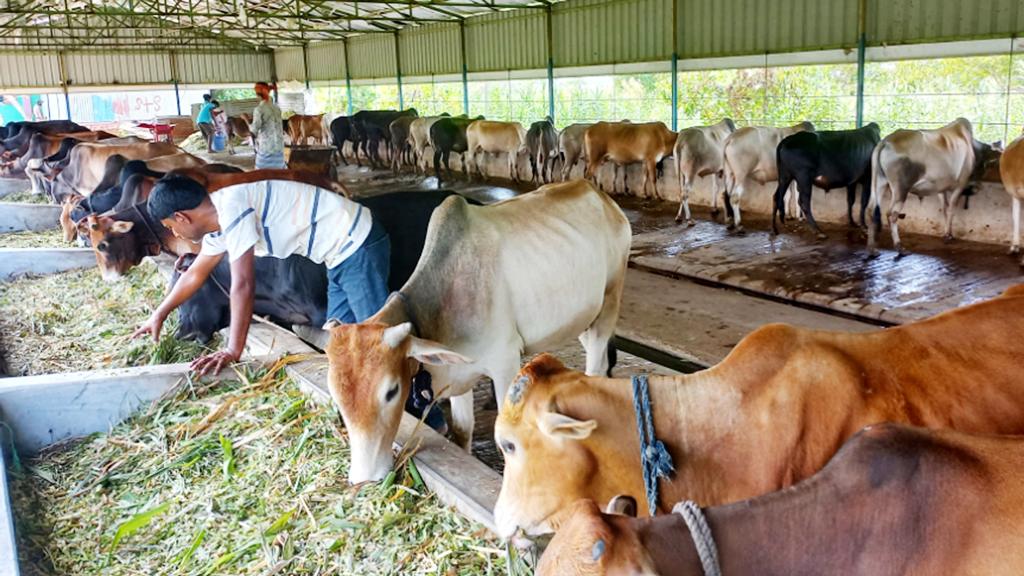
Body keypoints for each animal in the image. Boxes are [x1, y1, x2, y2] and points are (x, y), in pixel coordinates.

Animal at [868, 117, 1003, 254]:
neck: (973, 148)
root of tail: (885, 141)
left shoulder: (941, 188)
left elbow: (944, 208)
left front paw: (946, 233)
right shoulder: (960, 185)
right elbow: (951, 209)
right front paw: (949, 235)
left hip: (880, 183)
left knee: (870, 209)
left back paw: (872, 248)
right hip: (901, 189)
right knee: (891, 214)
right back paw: (898, 246)